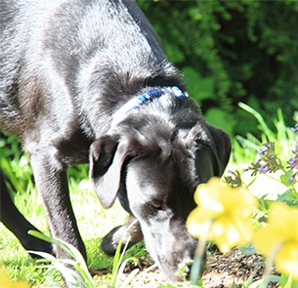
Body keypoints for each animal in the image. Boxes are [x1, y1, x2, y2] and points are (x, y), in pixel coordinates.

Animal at [0, 0, 230, 284]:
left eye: (201, 200)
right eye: (156, 204)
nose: (190, 269)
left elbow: (131, 210)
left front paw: (112, 240)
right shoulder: (45, 155)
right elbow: (66, 228)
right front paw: (77, 278)